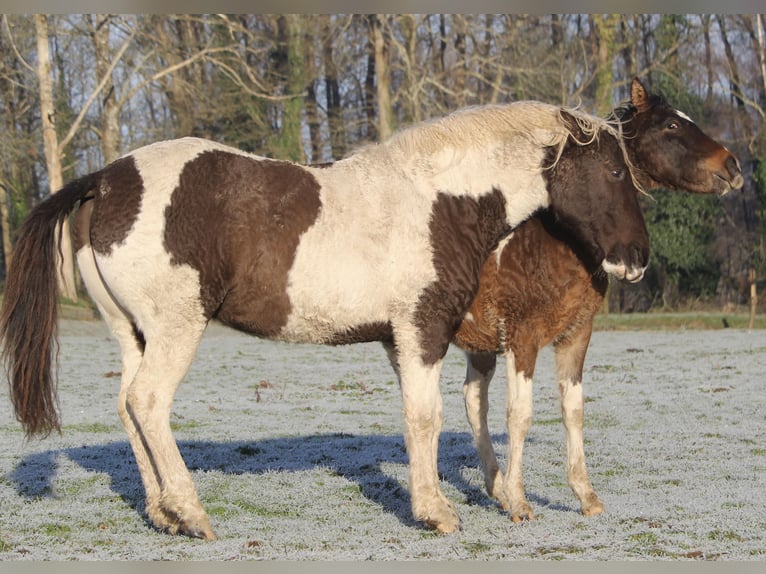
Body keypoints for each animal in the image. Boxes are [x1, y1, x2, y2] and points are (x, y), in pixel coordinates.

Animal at [0, 100, 652, 540]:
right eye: (616, 173)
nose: (637, 258)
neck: (438, 200)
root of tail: (107, 180)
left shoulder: (399, 340)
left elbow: (417, 419)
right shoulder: (424, 330)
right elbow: (428, 417)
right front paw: (437, 512)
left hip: (134, 333)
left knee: (127, 407)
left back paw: (163, 514)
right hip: (176, 329)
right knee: (149, 402)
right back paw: (191, 513)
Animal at [456, 79, 744, 524]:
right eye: (672, 125)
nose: (733, 167)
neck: (553, 244)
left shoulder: (576, 336)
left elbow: (573, 410)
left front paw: (584, 495)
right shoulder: (522, 341)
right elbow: (520, 415)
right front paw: (521, 503)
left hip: (480, 346)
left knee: (474, 402)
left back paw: (495, 487)